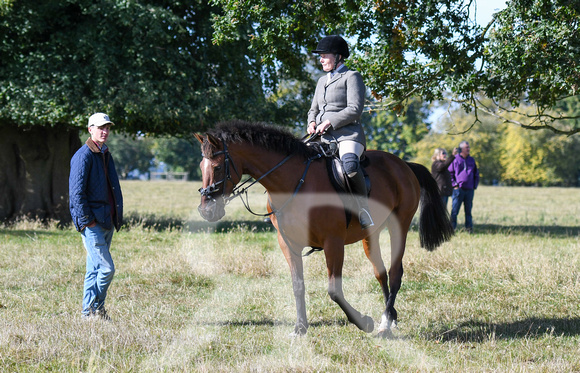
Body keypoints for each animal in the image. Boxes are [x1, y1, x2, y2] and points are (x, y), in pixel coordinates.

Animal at [195, 120, 454, 338]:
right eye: (201, 166)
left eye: (217, 168)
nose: (206, 211)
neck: (293, 183)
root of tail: (403, 164)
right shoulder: (287, 242)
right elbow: (298, 285)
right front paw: (300, 328)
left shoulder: (333, 242)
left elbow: (334, 289)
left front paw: (363, 322)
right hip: (370, 235)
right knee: (381, 273)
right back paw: (389, 318)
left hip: (398, 226)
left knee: (395, 273)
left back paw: (384, 325)